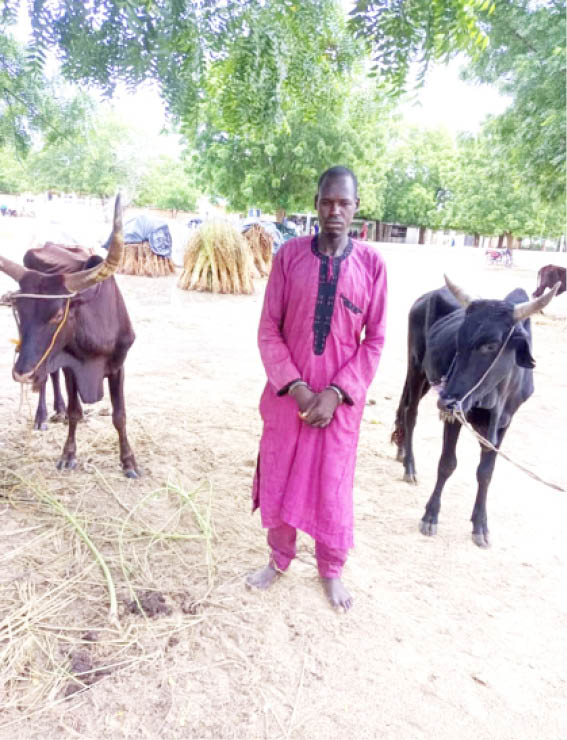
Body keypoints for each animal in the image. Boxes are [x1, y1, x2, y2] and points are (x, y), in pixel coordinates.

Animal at [0, 194, 139, 476]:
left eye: (56, 315)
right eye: (19, 310)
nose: (21, 373)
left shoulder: (119, 365)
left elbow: (119, 415)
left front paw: (128, 461)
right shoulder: (71, 366)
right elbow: (75, 410)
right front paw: (68, 454)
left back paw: (58, 409)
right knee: (45, 379)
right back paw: (43, 415)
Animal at [394, 274, 560, 548]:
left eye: (491, 345)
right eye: (458, 339)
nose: (446, 401)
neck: (495, 397)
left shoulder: (503, 424)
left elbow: (486, 473)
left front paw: (480, 525)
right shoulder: (455, 415)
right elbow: (447, 463)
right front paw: (430, 516)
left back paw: (401, 452)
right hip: (417, 366)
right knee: (410, 411)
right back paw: (409, 465)